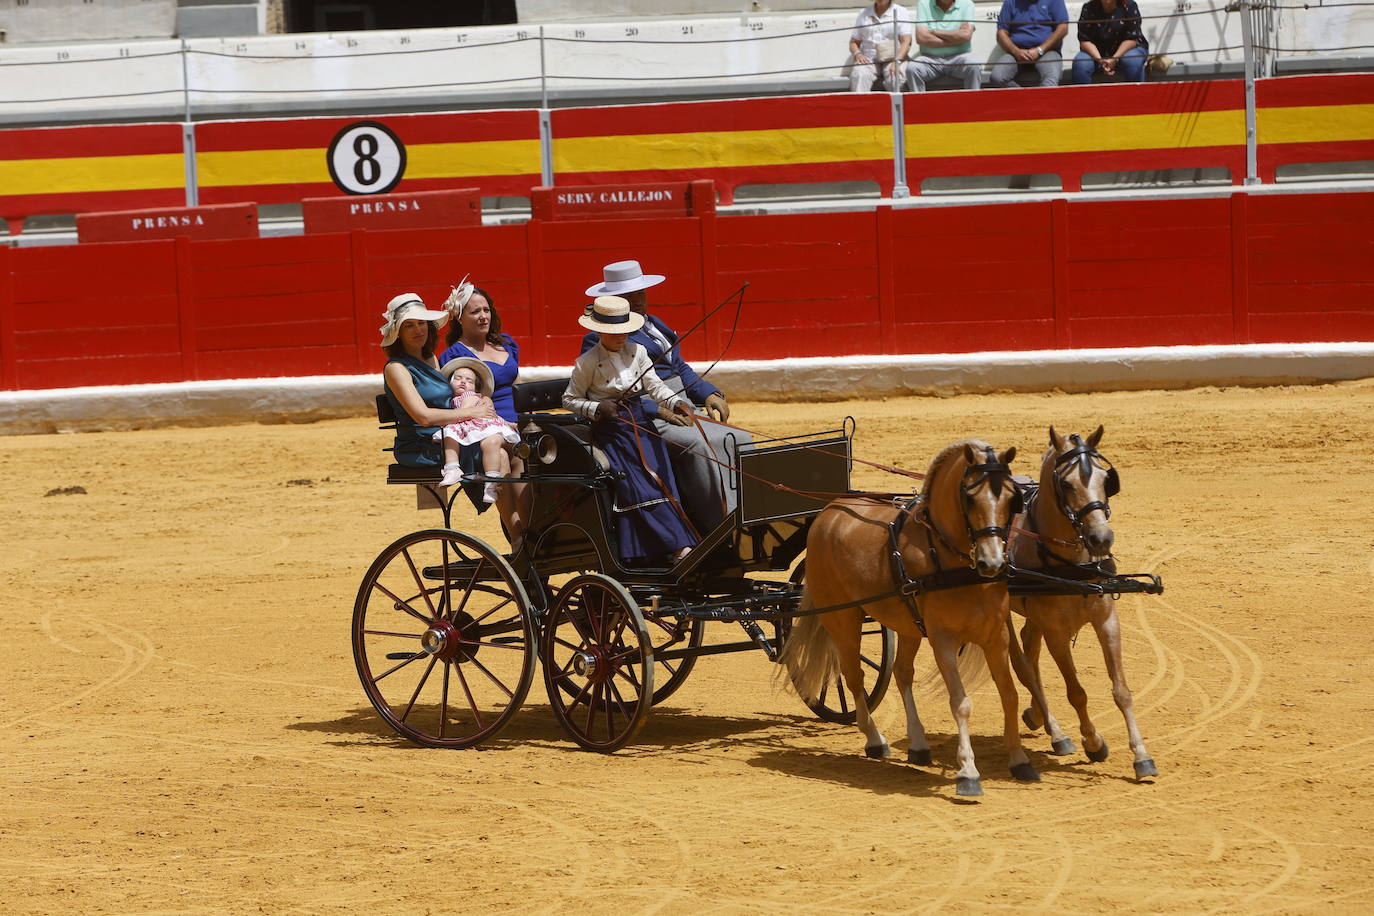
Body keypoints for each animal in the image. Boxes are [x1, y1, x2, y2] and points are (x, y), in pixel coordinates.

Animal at [780, 442, 1033, 796]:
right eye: (970, 497)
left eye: (1012, 498)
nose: (992, 562)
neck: (952, 561)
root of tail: (829, 512)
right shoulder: (943, 639)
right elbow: (961, 702)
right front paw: (968, 772)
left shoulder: (996, 635)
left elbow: (1010, 695)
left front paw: (1020, 760)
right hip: (843, 619)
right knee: (854, 676)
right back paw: (874, 739)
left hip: (906, 626)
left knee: (901, 672)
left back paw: (918, 745)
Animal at [1011, 425, 1159, 780]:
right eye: (1066, 484)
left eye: (1107, 480)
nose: (1101, 539)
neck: (1074, 565)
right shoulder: (1056, 633)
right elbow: (1076, 692)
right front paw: (1094, 743)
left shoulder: (1106, 621)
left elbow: (1121, 691)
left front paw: (1141, 756)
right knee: (1023, 666)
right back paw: (1056, 733)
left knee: (1029, 652)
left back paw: (1040, 719)